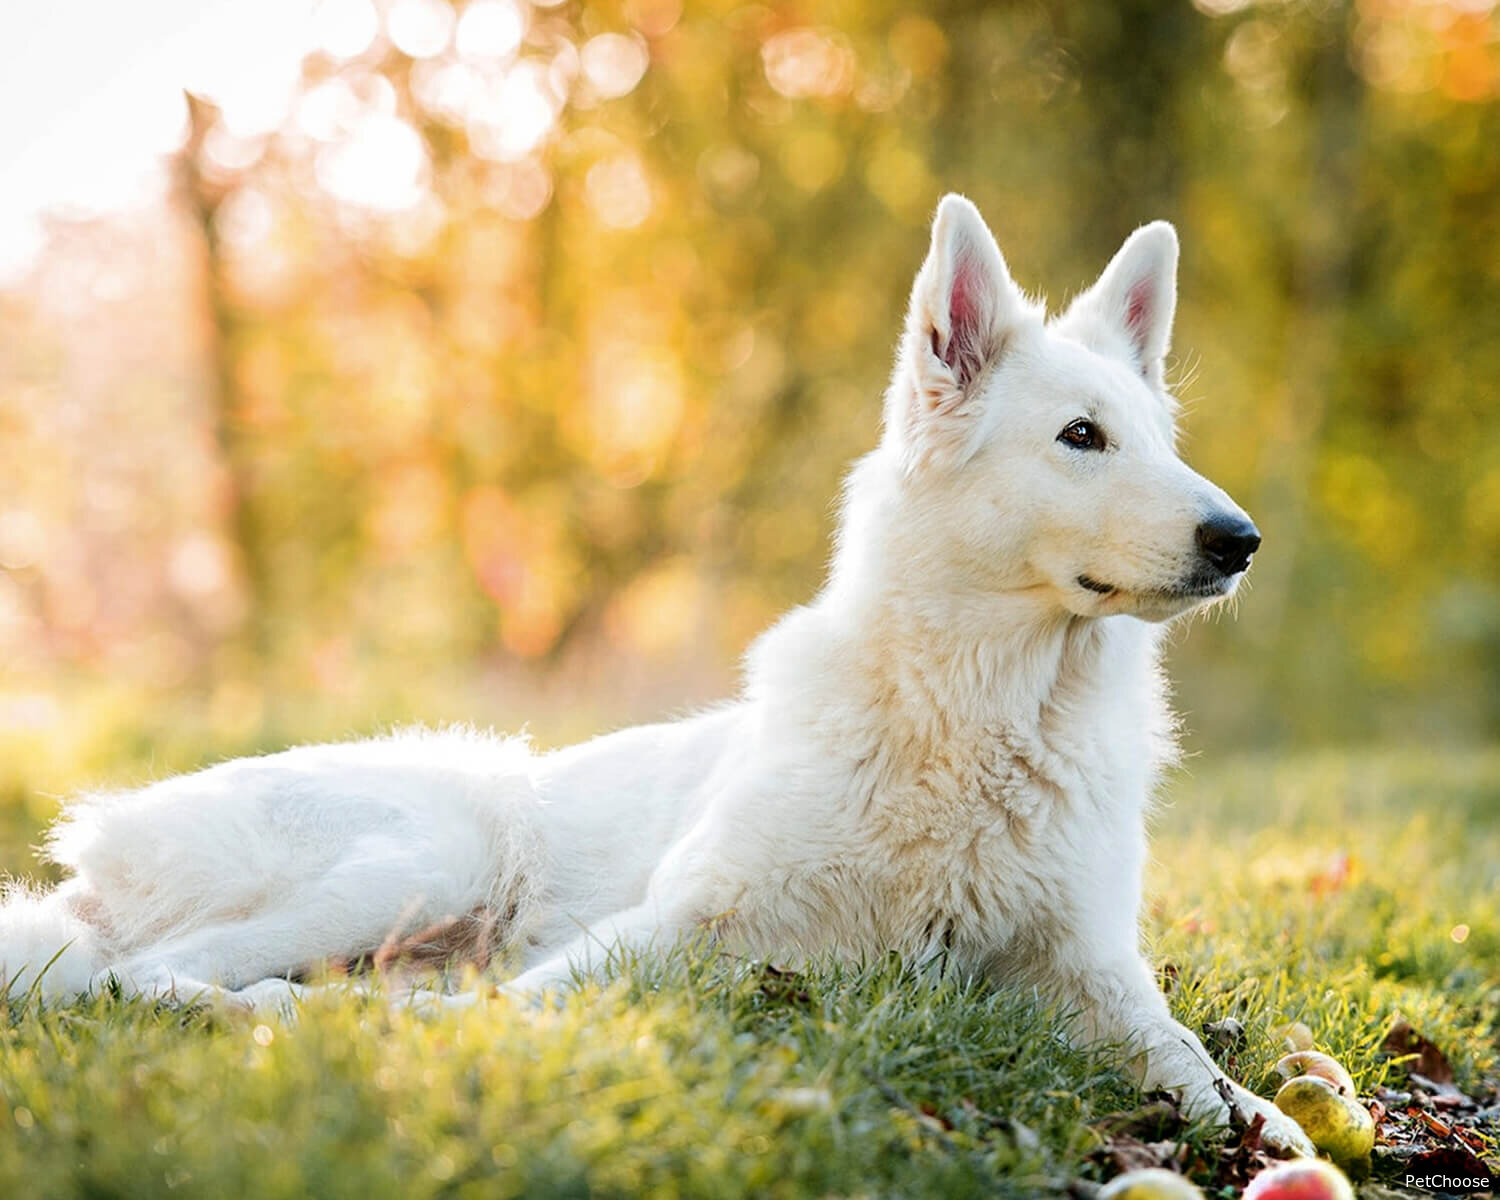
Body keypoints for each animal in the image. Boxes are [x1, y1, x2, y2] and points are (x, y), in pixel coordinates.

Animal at [0, 195, 1314, 1152]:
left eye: (1163, 444)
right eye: (1081, 438)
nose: (1242, 540)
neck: (983, 718)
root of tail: (104, 840)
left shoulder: (1092, 970)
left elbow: (1199, 1068)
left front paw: (1268, 1130)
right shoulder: (678, 919)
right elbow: (525, 1005)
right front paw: (426, 1044)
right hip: (439, 844)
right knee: (141, 975)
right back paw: (277, 1009)